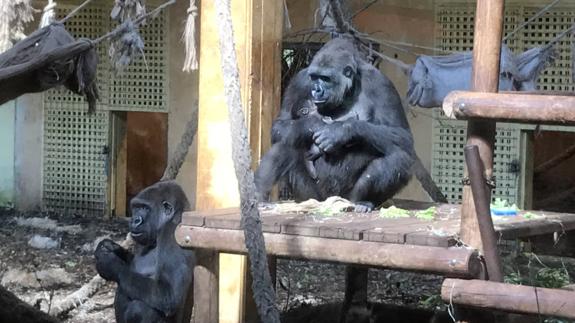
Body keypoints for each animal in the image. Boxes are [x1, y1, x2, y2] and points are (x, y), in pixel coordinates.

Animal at [94, 182, 194, 323]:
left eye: (145, 208)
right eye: (136, 207)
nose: (134, 220)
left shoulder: (172, 234)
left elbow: (170, 294)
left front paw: (110, 265)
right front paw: (110, 247)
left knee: (141, 307)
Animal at [258, 36, 416, 213]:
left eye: (325, 78)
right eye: (314, 77)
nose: (316, 91)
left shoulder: (380, 83)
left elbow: (403, 135)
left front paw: (340, 131)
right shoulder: (300, 80)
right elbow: (280, 125)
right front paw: (313, 124)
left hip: (346, 197)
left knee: (400, 158)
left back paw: (363, 202)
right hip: (311, 196)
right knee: (286, 142)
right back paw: (259, 194)